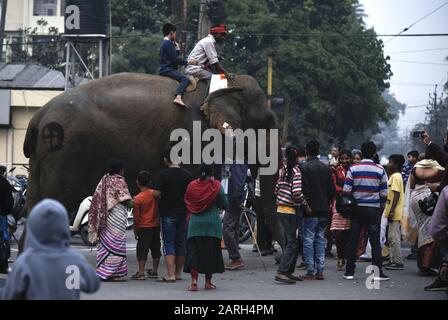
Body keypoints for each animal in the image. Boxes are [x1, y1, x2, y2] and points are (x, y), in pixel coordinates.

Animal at [22, 73, 284, 245]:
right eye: (265, 122)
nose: (279, 257)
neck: (220, 86)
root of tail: (38, 116)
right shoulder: (191, 137)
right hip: (64, 154)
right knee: (54, 202)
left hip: (41, 159)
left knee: (34, 201)